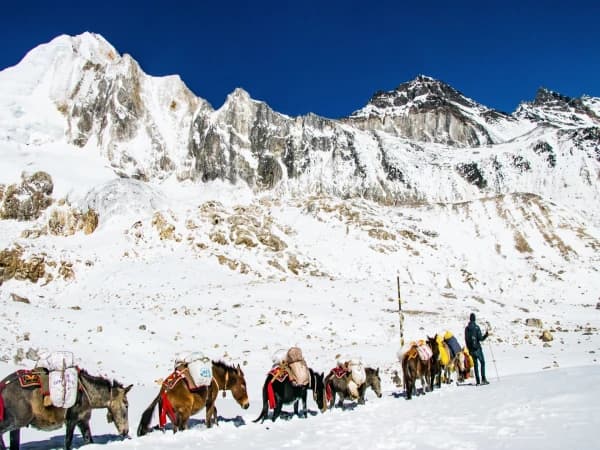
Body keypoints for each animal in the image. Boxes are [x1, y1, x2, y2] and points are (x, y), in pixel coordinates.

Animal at [0, 370, 132, 450]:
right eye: (126, 405)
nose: (125, 431)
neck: (86, 392)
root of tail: (3, 386)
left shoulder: (83, 421)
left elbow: (89, 440)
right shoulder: (71, 420)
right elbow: (68, 442)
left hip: (16, 427)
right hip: (16, 421)